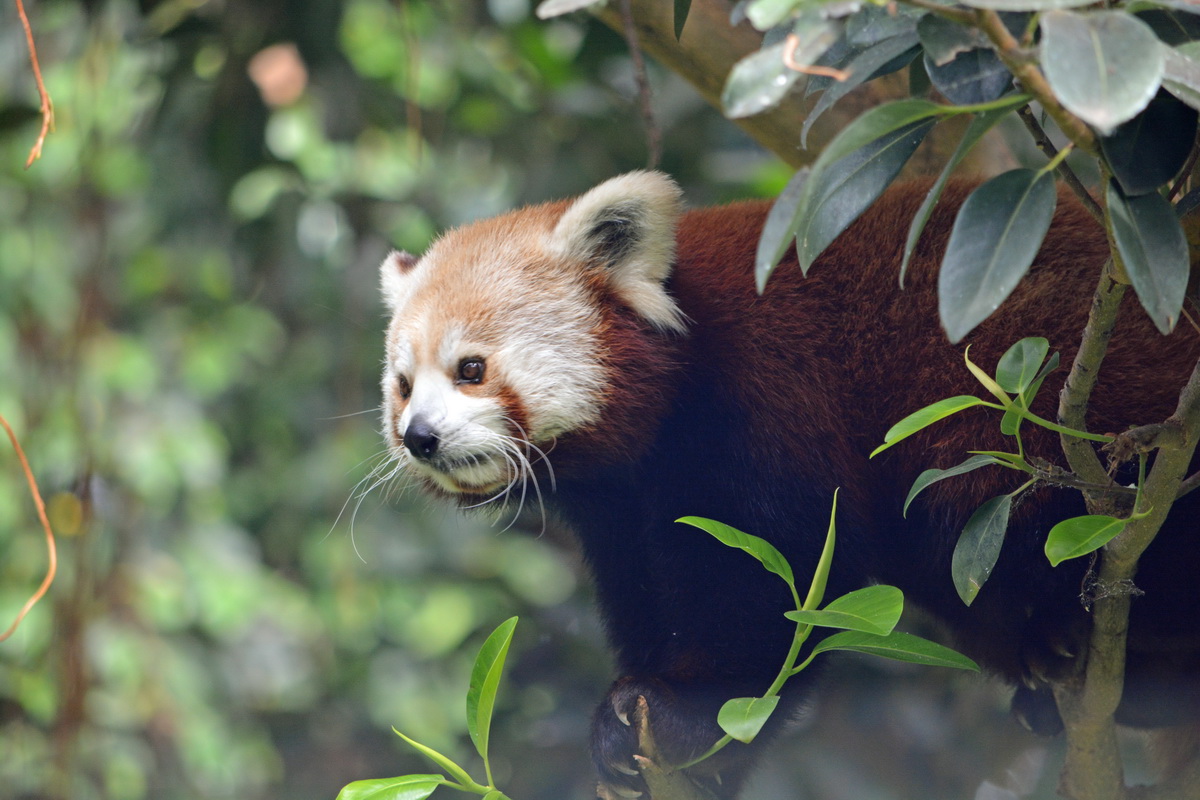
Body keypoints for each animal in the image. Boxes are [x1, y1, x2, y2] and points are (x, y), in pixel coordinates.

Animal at [376, 172, 1200, 796]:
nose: (420, 437)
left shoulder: (767, 396)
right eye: (403, 385)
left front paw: (678, 716)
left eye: (471, 369)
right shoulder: (620, 500)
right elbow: (648, 588)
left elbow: (774, 584)